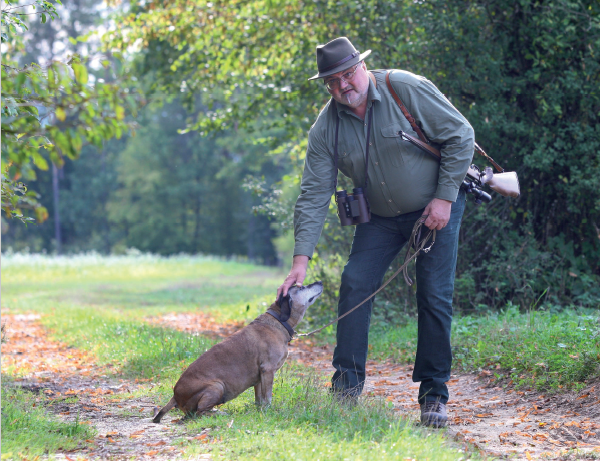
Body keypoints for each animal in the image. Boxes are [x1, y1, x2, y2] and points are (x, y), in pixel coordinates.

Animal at [155, 278, 324, 422]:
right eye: (301, 288)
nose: (320, 282)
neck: (278, 322)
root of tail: (176, 396)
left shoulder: (259, 377)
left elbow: (259, 398)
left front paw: (259, 411)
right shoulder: (268, 370)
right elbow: (268, 397)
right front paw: (268, 411)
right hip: (217, 386)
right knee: (198, 412)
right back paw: (219, 413)